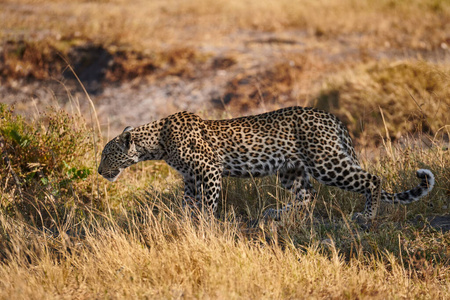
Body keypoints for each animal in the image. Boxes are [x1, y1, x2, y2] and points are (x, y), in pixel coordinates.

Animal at [99, 106, 436, 221]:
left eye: (106, 154)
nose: (99, 170)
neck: (156, 142)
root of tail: (330, 116)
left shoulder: (208, 171)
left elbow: (207, 203)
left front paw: (204, 225)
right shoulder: (189, 178)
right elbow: (187, 202)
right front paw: (185, 222)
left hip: (326, 162)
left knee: (372, 180)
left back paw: (367, 216)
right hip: (291, 170)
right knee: (307, 195)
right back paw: (278, 214)